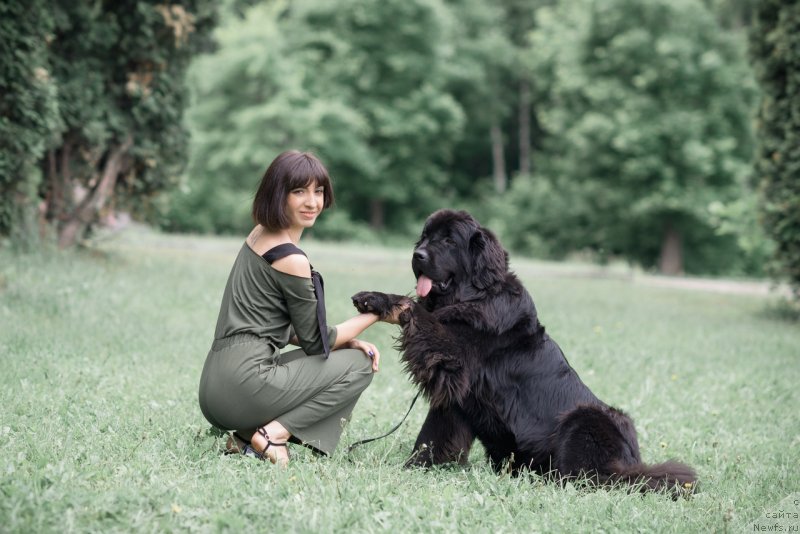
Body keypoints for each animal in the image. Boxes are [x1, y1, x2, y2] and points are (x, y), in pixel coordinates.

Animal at [354, 209, 696, 494]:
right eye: (425, 237)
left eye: (449, 240)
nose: (417, 254)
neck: (474, 296)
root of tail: (631, 459)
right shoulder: (456, 395)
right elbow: (434, 436)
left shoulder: (454, 355)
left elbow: (420, 313)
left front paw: (390, 303)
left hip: (585, 417)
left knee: (595, 478)